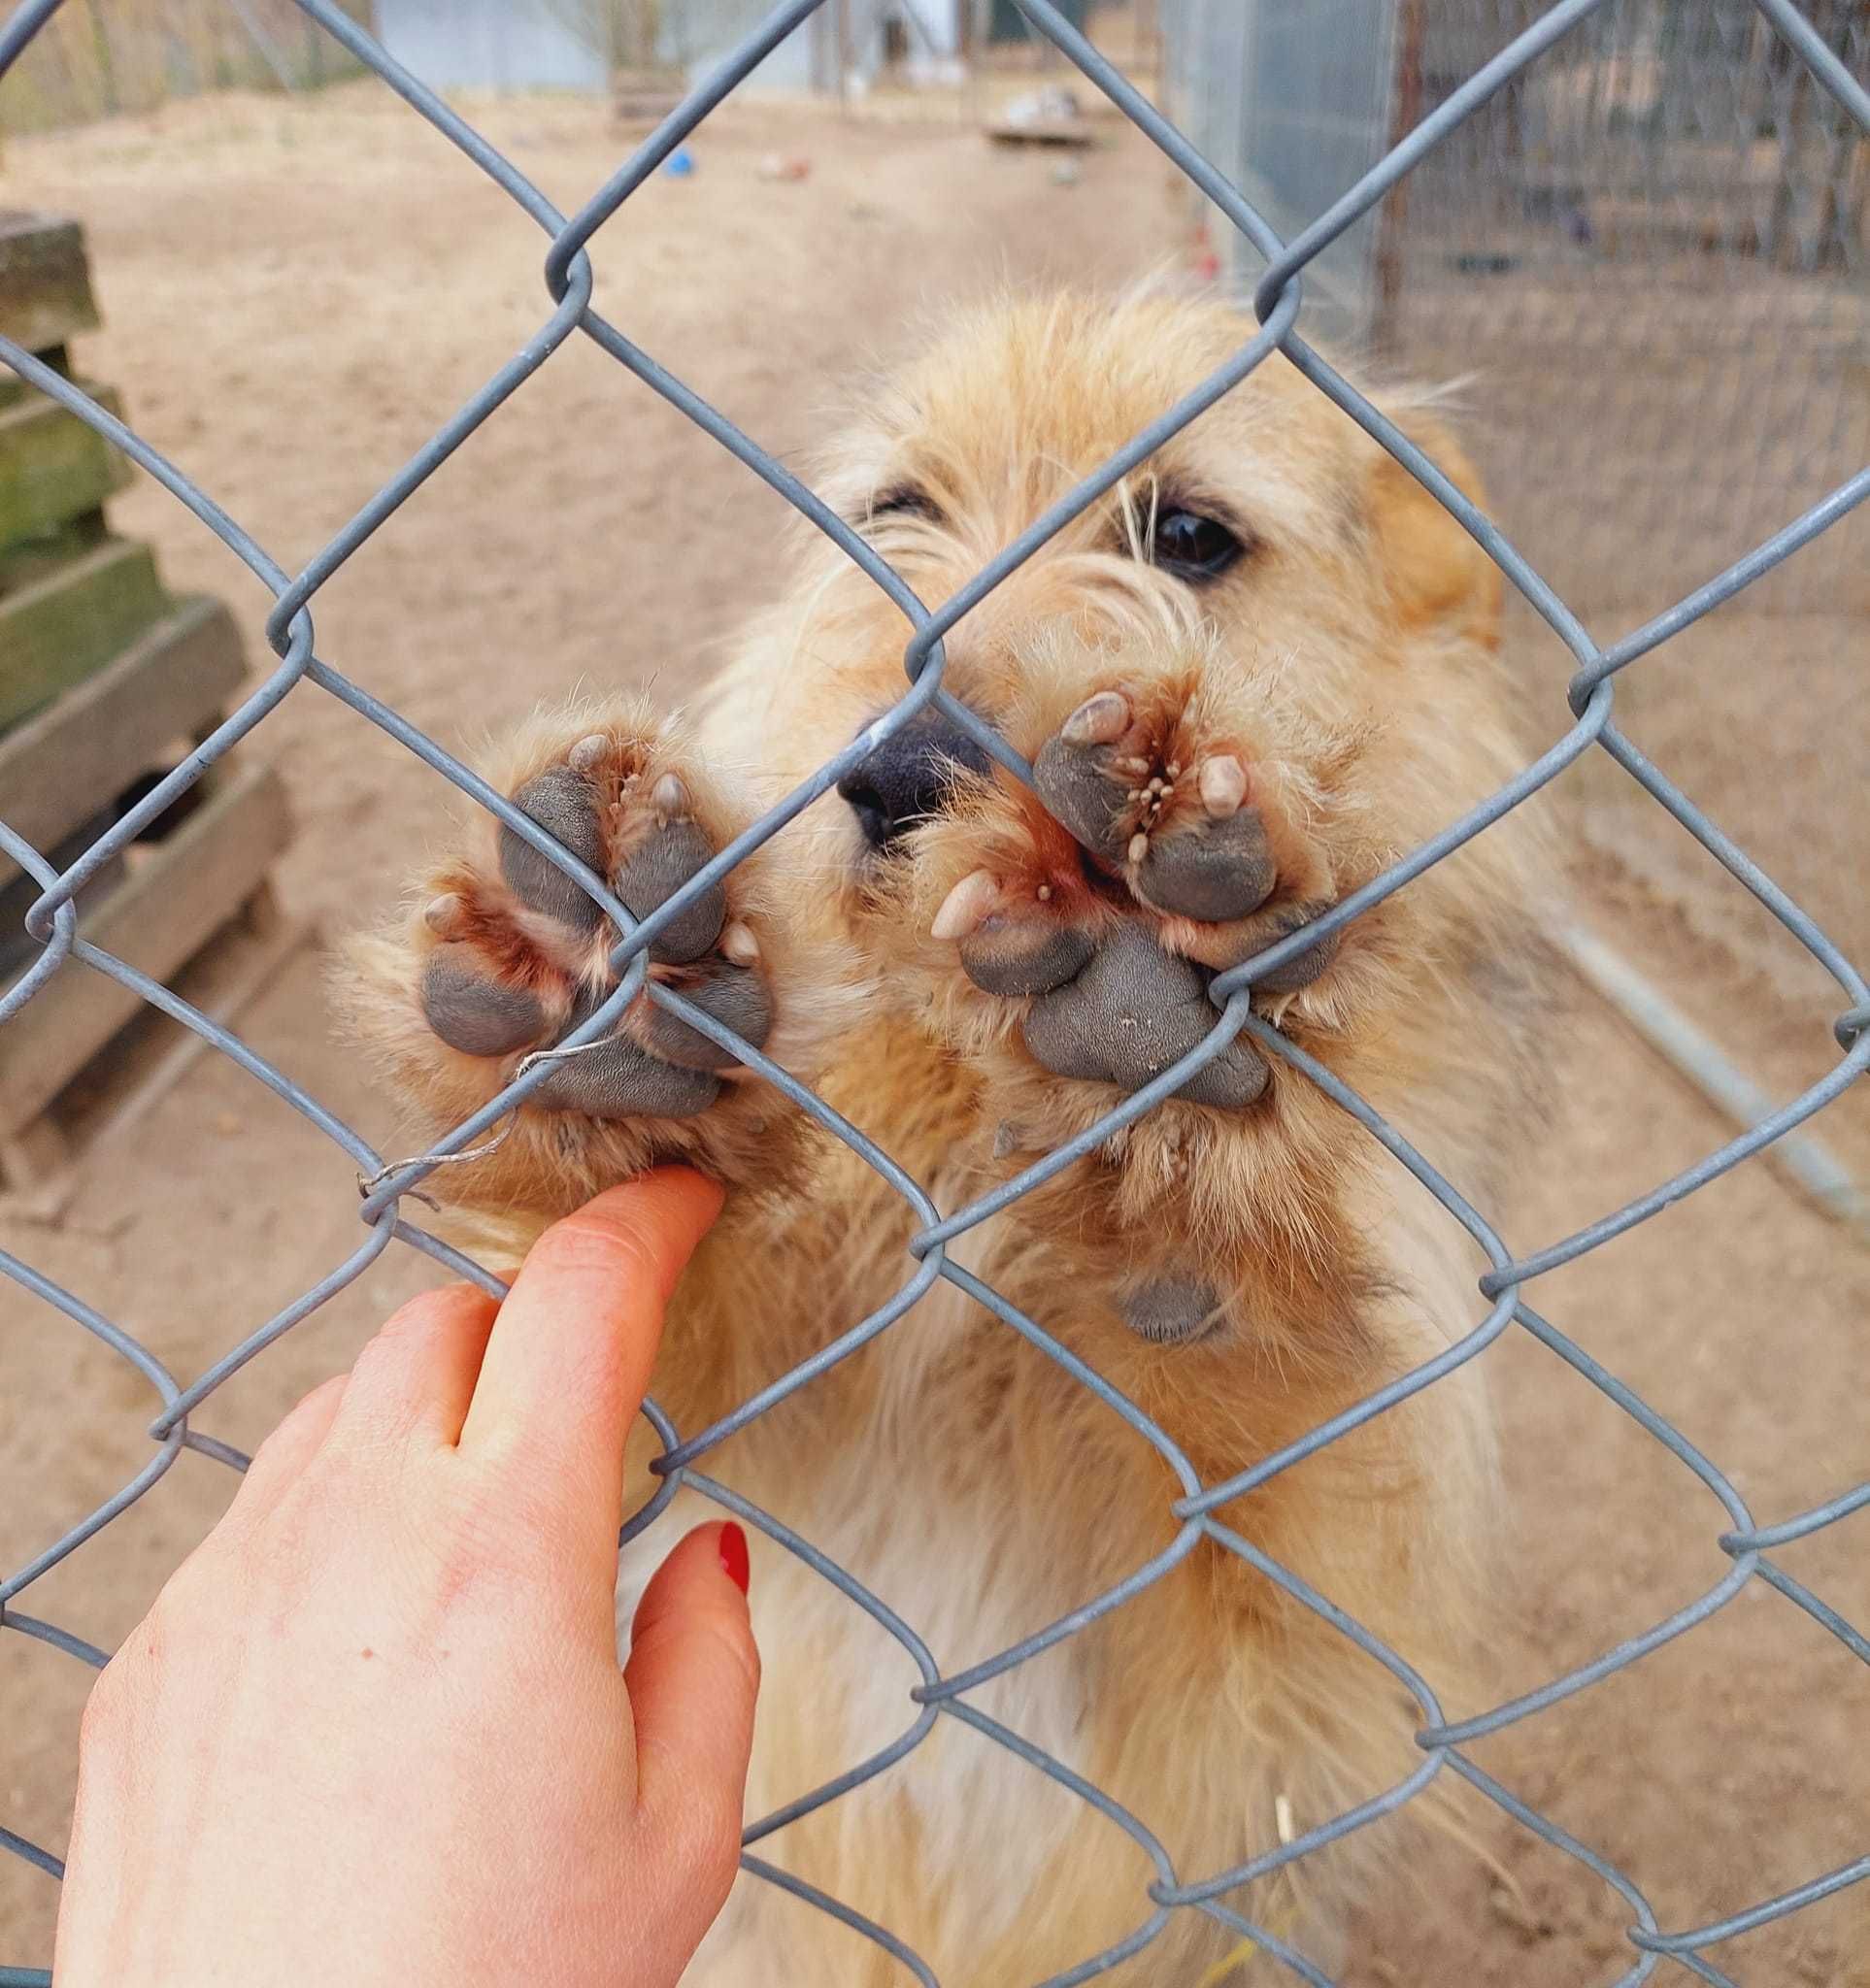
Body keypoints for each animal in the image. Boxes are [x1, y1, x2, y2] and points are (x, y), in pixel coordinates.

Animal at [344, 287, 1559, 1979]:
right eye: (896, 507)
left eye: (1191, 534)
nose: (897, 778)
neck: (984, 1128)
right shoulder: (740, 1448)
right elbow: (671, 1318)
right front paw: (603, 1068)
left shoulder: (1274, 1680)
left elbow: (1256, 1465)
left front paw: (1187, 1174)